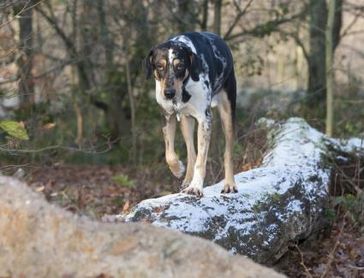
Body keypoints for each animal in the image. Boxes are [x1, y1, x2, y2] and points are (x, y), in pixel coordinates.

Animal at [146, 31, 237, 197]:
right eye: (159, 66)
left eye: (180, 66)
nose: (168, 93)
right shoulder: (167, 116)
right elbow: (170, 154)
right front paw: (178, 170)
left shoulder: (205, 120)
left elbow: (201, 160)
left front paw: (195, 187)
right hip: (185, 121)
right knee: (191, 151)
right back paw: (187, 178)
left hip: (228, 113)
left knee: (227, 153)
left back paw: (229, 184)